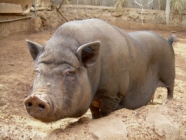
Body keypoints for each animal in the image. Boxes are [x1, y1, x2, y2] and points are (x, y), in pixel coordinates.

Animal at [24, 18, 175, 121]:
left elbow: (105, 114)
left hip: (169, 73)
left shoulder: (113, 94)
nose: (36, 98)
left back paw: (168, 103)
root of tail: (168, 41)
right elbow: (94, 113)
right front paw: (93, 119)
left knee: (170, 88)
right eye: (37, 71)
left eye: (70, 72)